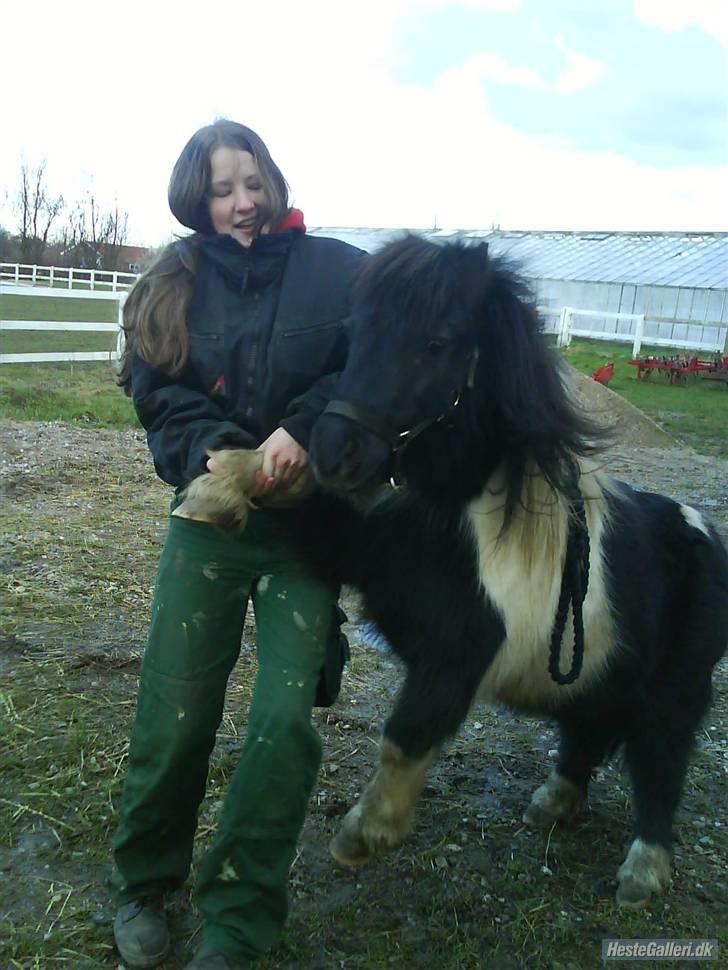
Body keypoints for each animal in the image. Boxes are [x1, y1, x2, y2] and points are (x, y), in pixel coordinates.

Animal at [304, 234, 728, 909]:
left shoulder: (460, 654)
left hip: (676, 691)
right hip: (601, 669)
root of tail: (704, 533)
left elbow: (405, 737)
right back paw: (553, 802)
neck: (461, 513)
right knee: (589, 728)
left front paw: (366, 833)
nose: (333, 454)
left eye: (436, 343)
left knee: (661, 761)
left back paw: (643, 869)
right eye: (354, 330)